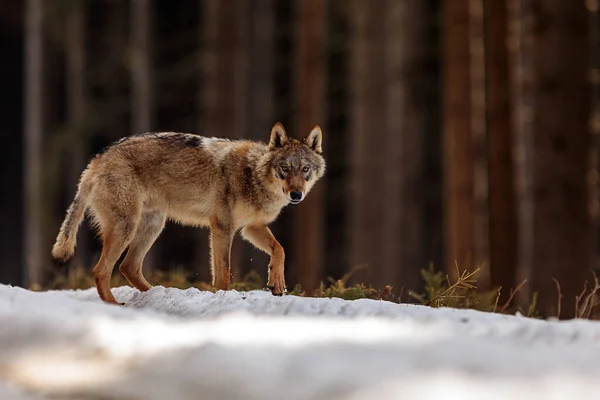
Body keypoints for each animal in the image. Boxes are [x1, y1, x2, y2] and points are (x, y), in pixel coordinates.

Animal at [49, 122, 326, 304]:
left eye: (305, 169)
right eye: (285, 168)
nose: (296, 195)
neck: (254, 176)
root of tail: (97, 159)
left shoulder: (251, 228)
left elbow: (280, 249)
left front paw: (277, 284)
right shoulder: (222, 227)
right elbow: (223, 273)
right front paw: (222, 296)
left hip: (153, 226)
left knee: (128, 267)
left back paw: (155, 293)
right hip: (127, 227)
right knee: (102, 270)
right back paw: (115, 305)